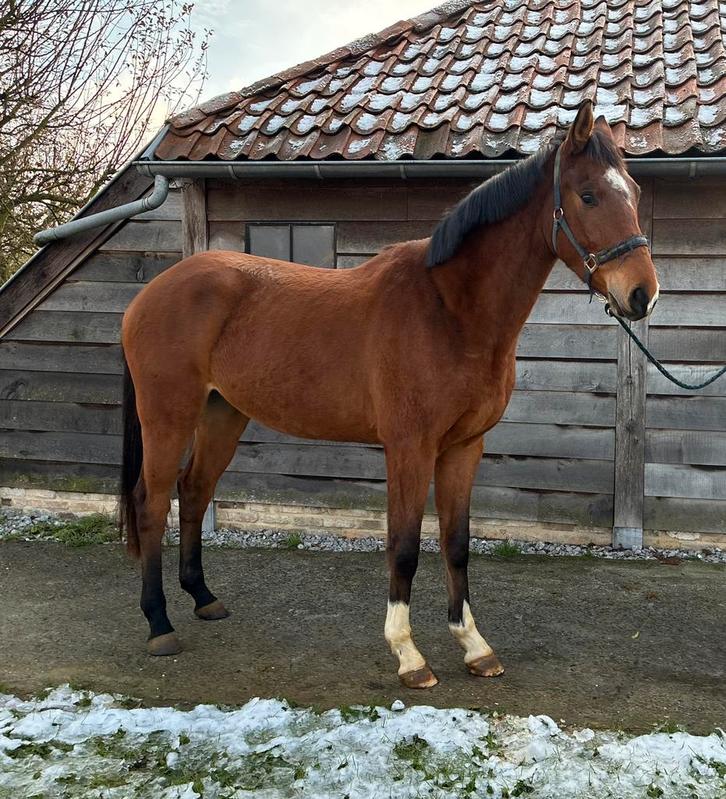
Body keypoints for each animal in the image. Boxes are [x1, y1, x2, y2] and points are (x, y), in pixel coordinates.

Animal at [120, 101, 659, 689]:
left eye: (634, 191)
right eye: (588, 195)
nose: (642, 294)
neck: (449, 311)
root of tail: (148, 295)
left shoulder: (463, 448)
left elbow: (456, 544)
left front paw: (473, 645)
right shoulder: (410, 448)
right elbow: (403, 548)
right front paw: (408, 655)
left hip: (223, 413)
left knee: (194, 492)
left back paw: (204, 598)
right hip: (168, 416)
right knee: (152, 504)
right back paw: (158, 623)